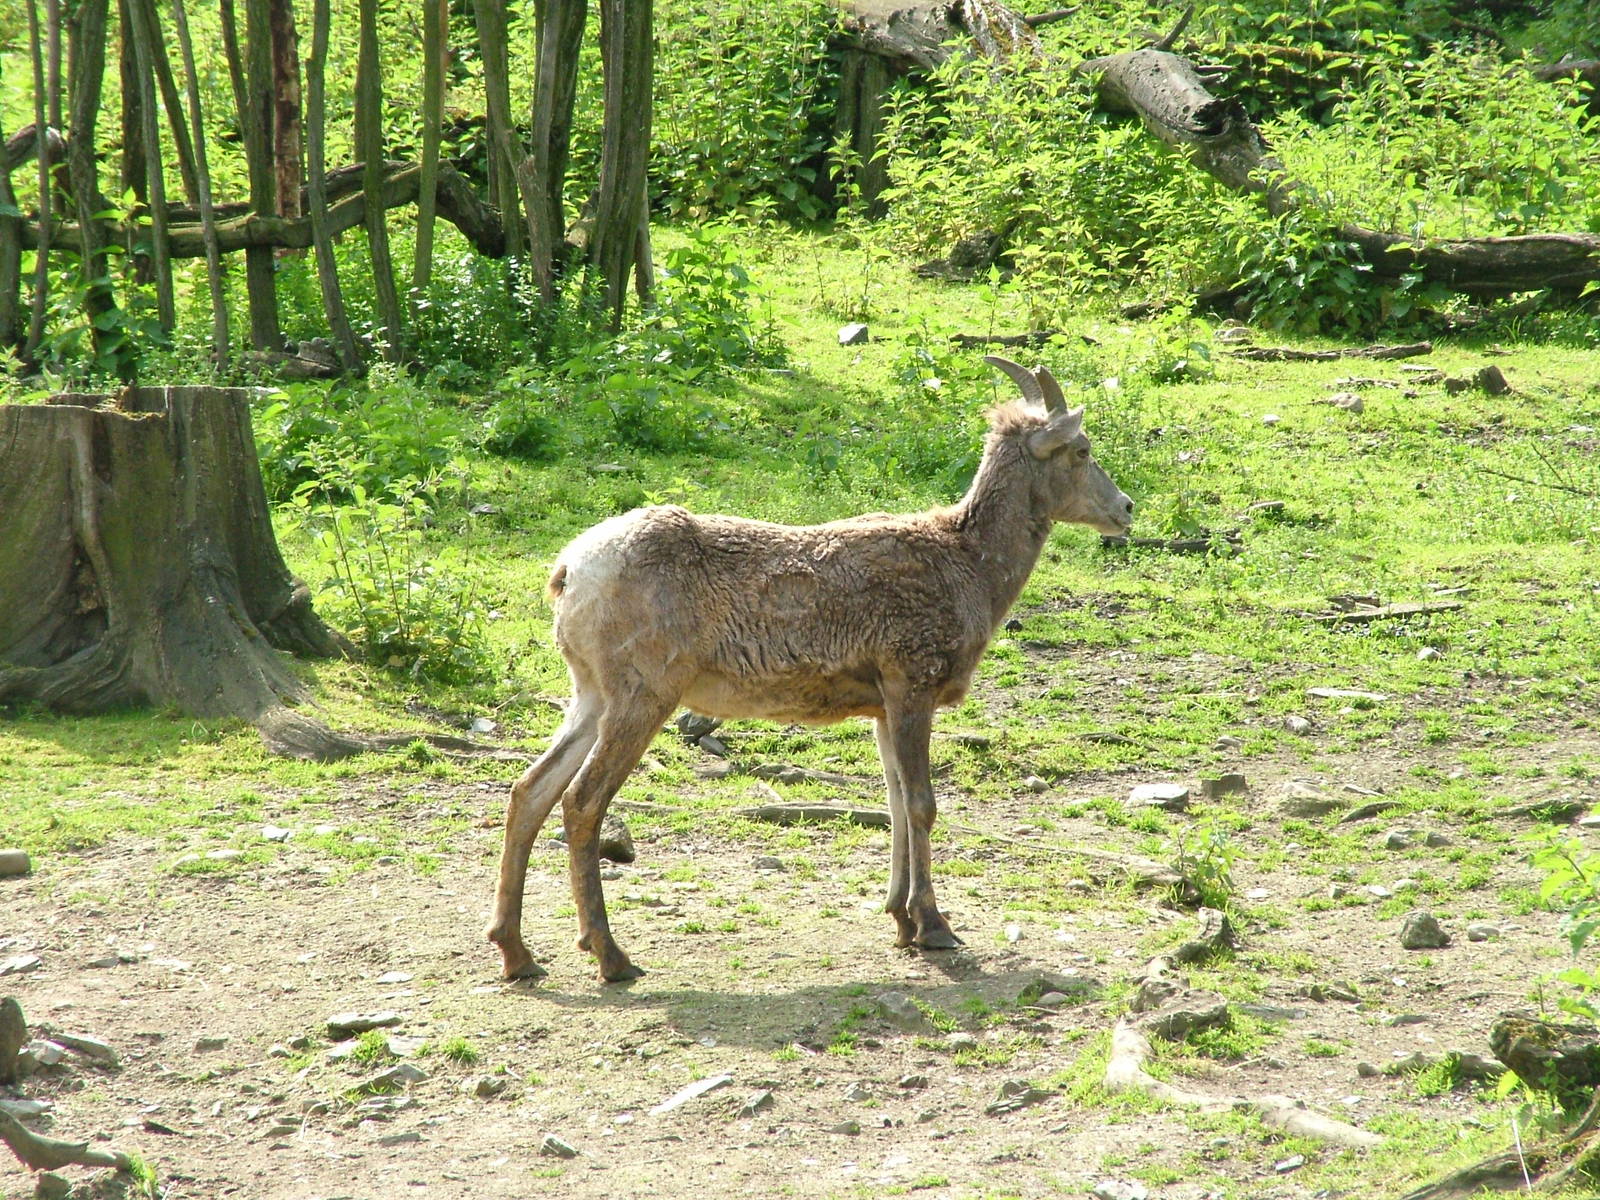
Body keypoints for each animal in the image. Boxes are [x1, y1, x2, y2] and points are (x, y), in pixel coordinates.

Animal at [486, 355, 1133, 983]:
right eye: (1081, 450)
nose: (1125, 509)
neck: (970, 569)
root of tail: (568, 571)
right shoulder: (912, 680)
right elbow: (922, 804)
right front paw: (934, 926)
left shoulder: (881, 702)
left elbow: (894, 802)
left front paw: (899, 919)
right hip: (643, 694)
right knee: (581, 801)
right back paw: (611, 957)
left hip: (590, 694)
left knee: (530, 789)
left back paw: (518, 954)